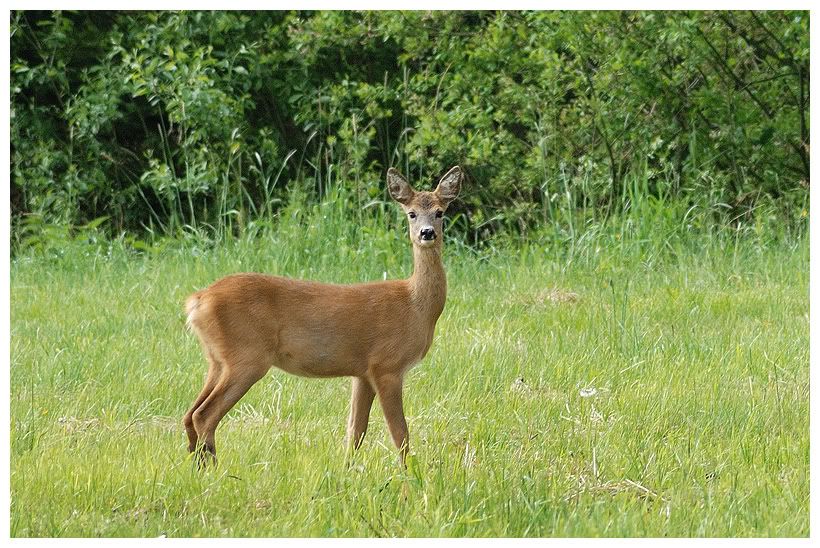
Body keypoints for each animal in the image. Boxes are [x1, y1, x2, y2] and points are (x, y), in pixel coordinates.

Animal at [184, 164, 462, 466]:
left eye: (440, 212)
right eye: (411, 213)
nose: (427, 233)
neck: (415, 307)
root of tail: (198, 301)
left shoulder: (362, 372)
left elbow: (355, 430)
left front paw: (347, 470)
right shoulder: (386, 365)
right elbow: (400, 433)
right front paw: (408, 474)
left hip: (216, 359)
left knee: (189, 414)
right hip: (247, 356)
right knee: (204, 415)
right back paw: (214, 469)